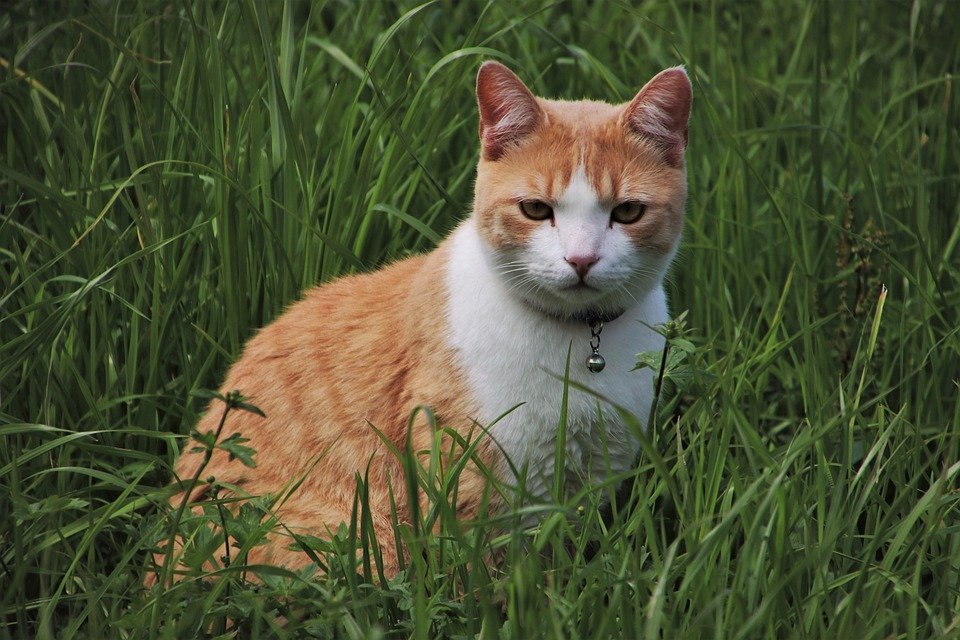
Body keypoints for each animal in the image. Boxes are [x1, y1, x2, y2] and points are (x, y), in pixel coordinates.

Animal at [154, 60, 688, 580]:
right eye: (536, 209)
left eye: (628, 211)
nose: (581, 260)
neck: (580, 343)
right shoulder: (470, 476)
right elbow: (485, 577)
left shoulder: (595, 471)